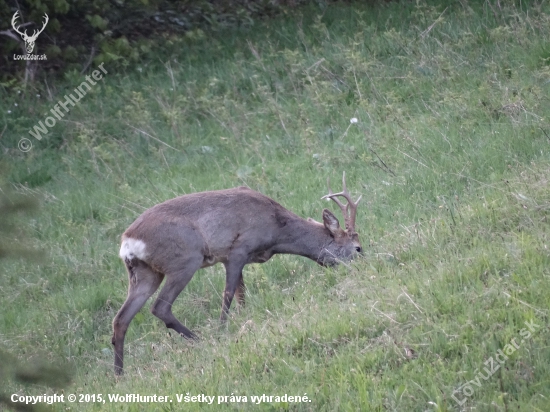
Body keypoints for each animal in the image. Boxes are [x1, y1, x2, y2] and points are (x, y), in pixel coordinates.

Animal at [112, 171, 362, 374]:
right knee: (160, 307)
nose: (364, 267)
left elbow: (241, 294)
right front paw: (222, 331)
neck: (277, 227)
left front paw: (244, 322)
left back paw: (119, 373)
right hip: (185, 259)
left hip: (145, 273)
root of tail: (128, 241)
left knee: (121, 319)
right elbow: (229, 294)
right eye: (358, 248)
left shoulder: (232, 258)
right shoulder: (238, 249)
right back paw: (201, 340)